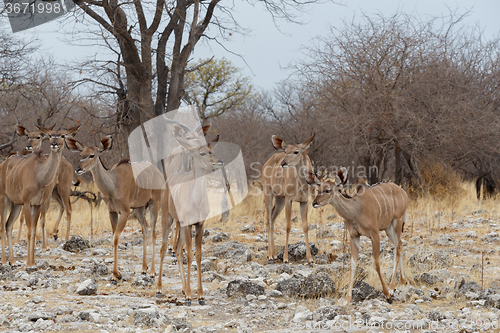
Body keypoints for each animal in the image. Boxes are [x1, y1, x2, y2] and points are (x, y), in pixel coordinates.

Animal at [0, 126, 79, 266]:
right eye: (50, 135)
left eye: (63, 135)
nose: (54, 144)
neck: (39, 175)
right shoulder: (27, 203)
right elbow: (29, 231)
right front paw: (29, 262)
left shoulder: (37, 204)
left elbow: (34, 229)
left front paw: (32, 261)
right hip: (4, 198)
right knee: (3, 226)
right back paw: (5, 261)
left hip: (19, 203)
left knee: (8, 225)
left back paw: (13, 261)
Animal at [65, 136, 162, 282]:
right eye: (81, 154)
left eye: (92, 155)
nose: (78, 169)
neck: (113, 184)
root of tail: (157, 171)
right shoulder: (112, 212)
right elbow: (114, 236)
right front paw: (115, 275)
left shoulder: (125, 212)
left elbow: (116, 238)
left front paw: (116, 274)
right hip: (139, 208)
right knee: (145, 229)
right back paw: (144, 269)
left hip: (154, 203)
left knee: (154, 232)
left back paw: (152, 272)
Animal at [262, 134, 312, 264]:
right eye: (285, 151)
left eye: (296, 151)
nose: (283, 163)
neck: (302, 184)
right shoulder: (289, 199)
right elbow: (288, 226)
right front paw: (285, 258)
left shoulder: (305, 201)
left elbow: (305, 226)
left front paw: (310, 258)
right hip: (268, 192)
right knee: (268, 219)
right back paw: (270, 255)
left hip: (280, 199)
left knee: (272, 218)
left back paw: (274, 254)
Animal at [304, 169, 410, 304]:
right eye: (318, 190)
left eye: (328, 190)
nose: (314, 203)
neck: (356, 210)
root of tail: (403, 192)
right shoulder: (354, 236)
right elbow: (353, 265)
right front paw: (347, 299)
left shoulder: (374, 234)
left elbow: (376, 264)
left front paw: (387, 295)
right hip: (388, 228)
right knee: (399, 246)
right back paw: (402, 280)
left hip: (397, 222)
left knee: (397, 248)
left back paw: (392, 288)